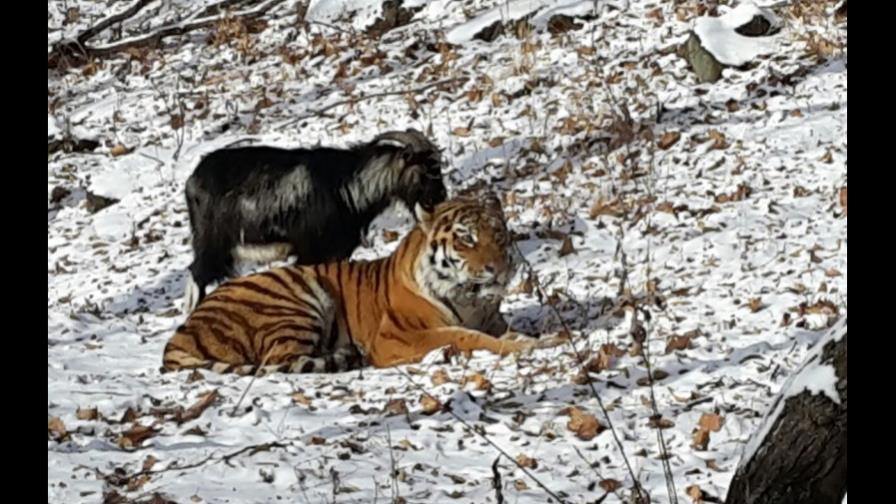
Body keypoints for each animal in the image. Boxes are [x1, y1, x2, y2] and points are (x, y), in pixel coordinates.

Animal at [162, 192, 548, 375]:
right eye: (467, 238)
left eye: (498, 234)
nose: (499, 269)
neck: (471, 300)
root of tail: (181, 333)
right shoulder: (397, 336)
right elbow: (464, 336)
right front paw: (525, 345)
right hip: (296, 298)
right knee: (282, 358)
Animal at [183, 129, 447, 311]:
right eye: (426, 170)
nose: (440, 197)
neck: (346, 186)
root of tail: (192, 181)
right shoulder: (310, 252)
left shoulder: (337, 252)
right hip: (212, 244)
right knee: (197, 274)